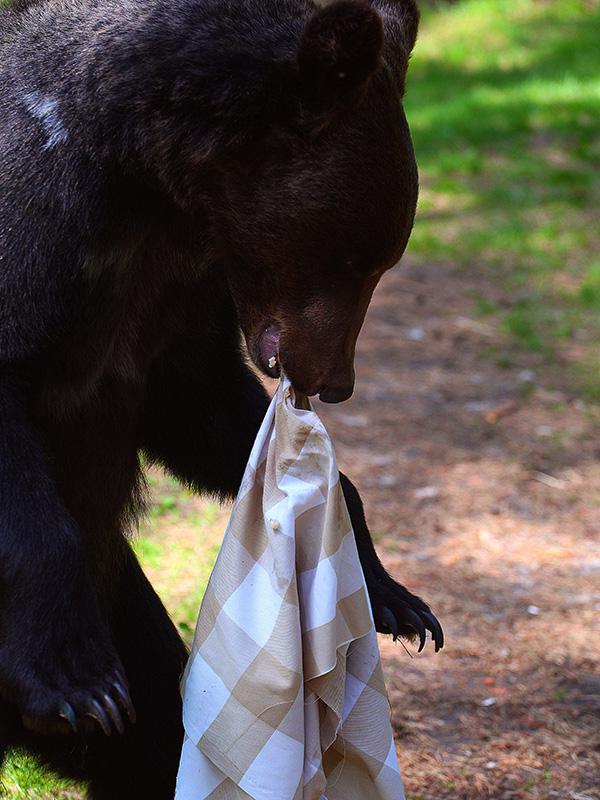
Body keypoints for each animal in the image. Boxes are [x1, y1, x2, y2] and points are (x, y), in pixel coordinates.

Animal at [0, 0, 443, 796]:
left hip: (125, 603)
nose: (336, 381)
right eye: (358, 256)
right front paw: (77, 683)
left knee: (156, 724)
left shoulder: (171, 308)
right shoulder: (40, 242)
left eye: (380, 258)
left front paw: (394, 594)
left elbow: (201, 406)